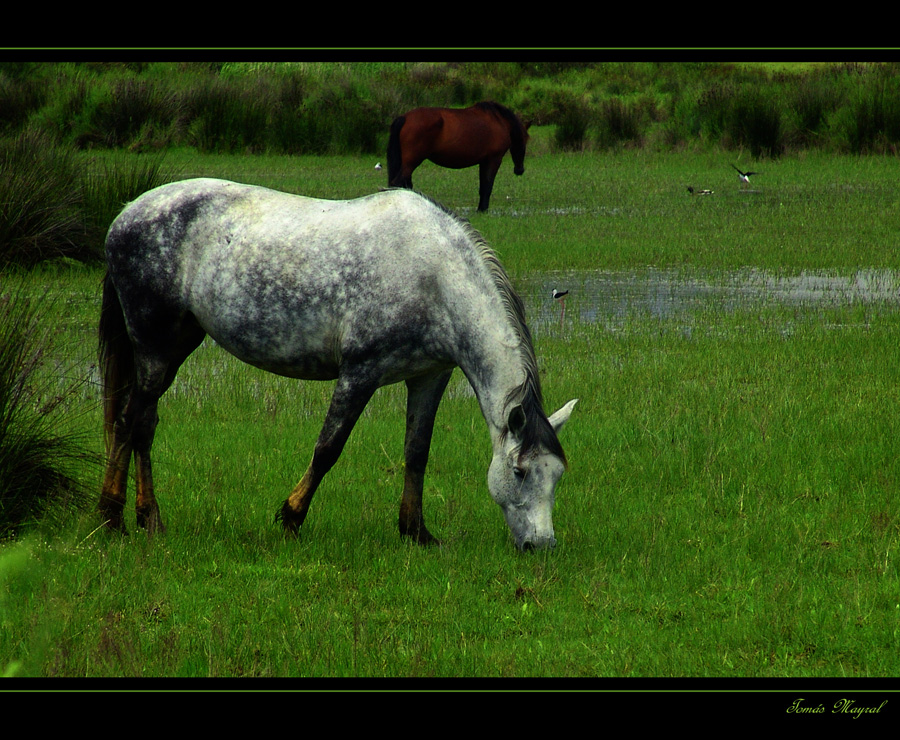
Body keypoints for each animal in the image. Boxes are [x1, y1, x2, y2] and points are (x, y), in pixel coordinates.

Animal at [98, 179, 576, 548]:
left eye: (556, 475)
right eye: (519, 471)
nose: (541, 545)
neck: (435, 278)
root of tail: (124, 216)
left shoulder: (429, 377)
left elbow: (416, 452)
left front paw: (416, 532)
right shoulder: (359, 373)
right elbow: (328, 447)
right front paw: (291, 519)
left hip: (177, 344)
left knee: (143, 424)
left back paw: (143, 519)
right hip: (155, 348)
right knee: (131, 421)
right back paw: (117, 519)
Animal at [384, 101, 528, 211]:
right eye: (525, 141)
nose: (520, 170)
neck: (499, 121)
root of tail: (405, 118)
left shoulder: (483, 162)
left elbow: (483, 186)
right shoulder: (493, 160)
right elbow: (488, 186)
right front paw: (483, 209)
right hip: (411, 162)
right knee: (398, 183)